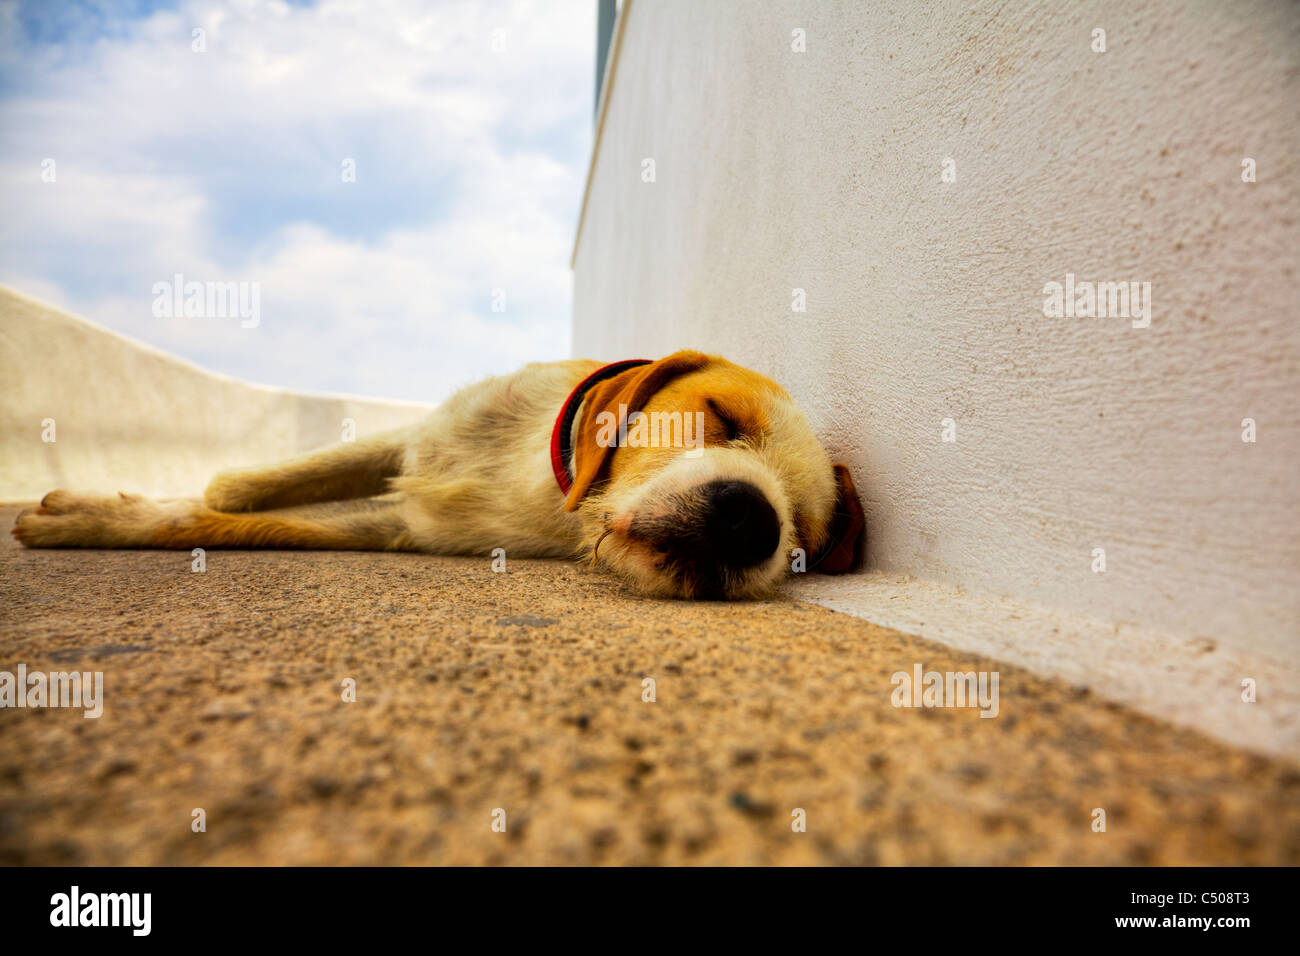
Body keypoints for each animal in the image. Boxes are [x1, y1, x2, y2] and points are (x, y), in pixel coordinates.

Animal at [15, 353, 863, 598]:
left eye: (804, 540)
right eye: (720, 416)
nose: (750, 519)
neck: (541, 486)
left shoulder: (402, 529)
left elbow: (225, 525)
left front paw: (94, 517)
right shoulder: (419, 439)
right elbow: (282, 481)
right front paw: (227, 485)